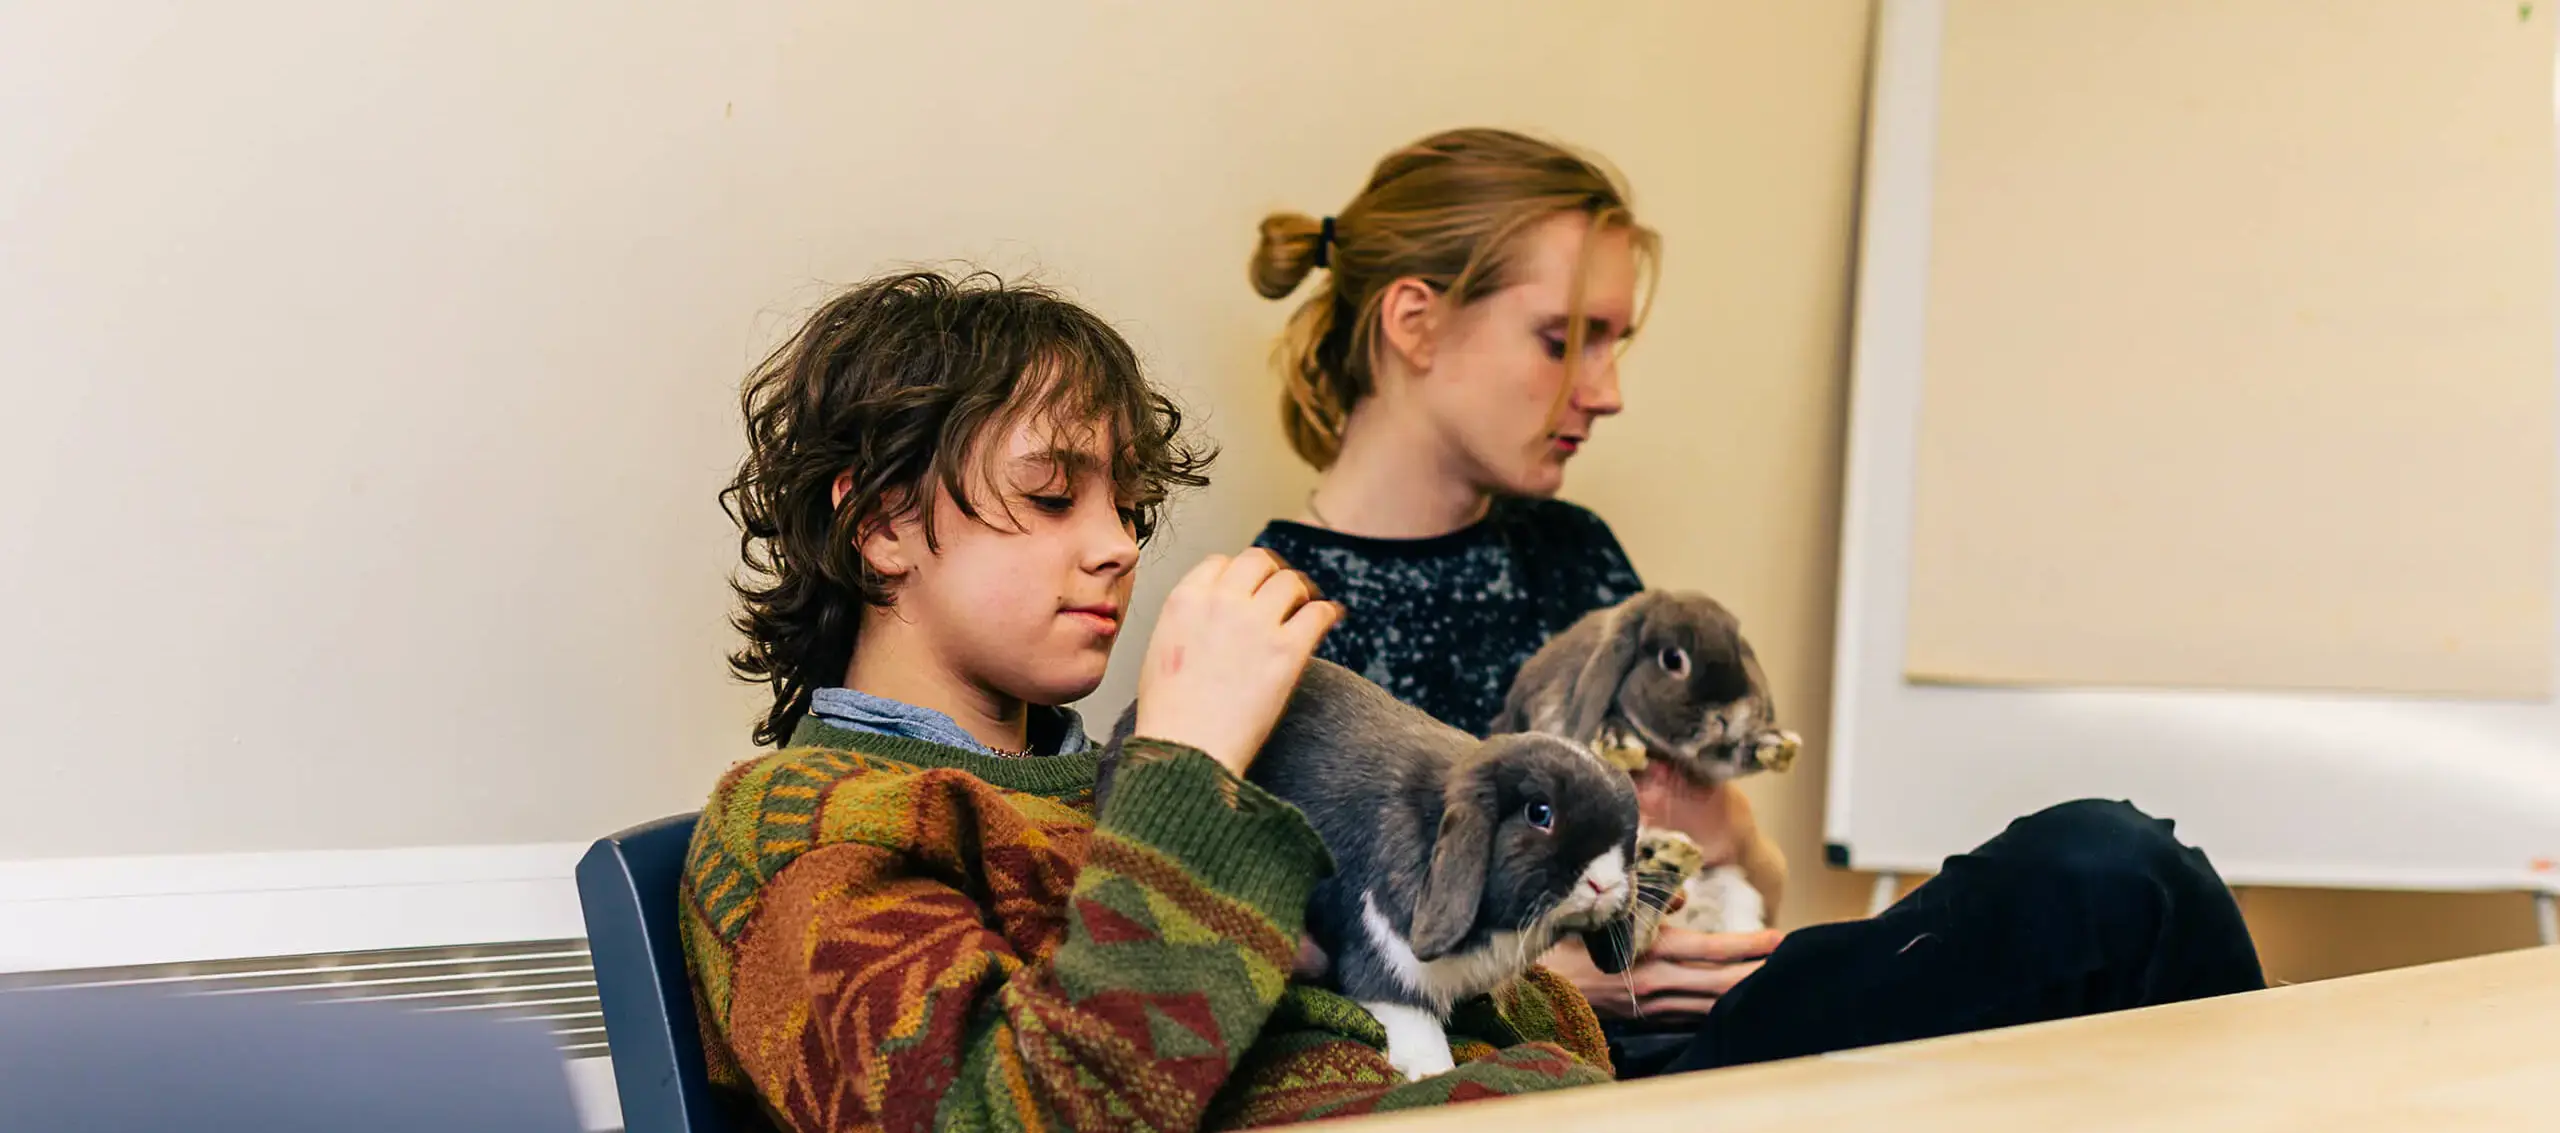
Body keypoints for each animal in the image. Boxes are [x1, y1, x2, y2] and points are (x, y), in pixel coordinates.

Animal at [1100, 654, 1638, 1084]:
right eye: (1539, 813)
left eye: (1626, 835)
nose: (1605, 883)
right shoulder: (1383, 947)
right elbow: (1406, 1013)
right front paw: (1432, 1071)